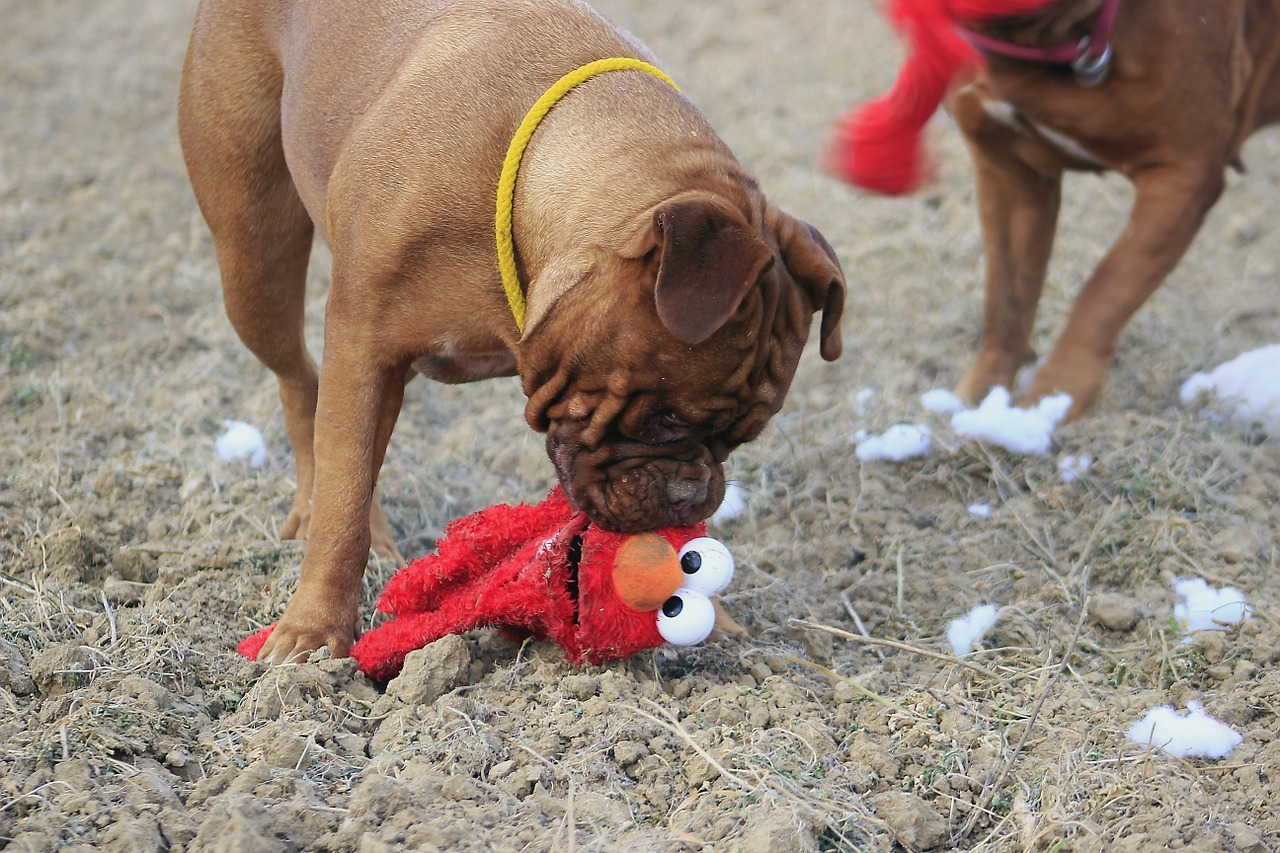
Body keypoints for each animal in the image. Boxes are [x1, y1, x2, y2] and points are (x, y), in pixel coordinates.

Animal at [175, 0, 844, 655]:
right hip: (254, 261)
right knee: (302, 384)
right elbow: (344, 500)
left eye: (742, 439)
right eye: (665, 419)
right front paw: (314, 630)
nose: (692, 492)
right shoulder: (364, 348)